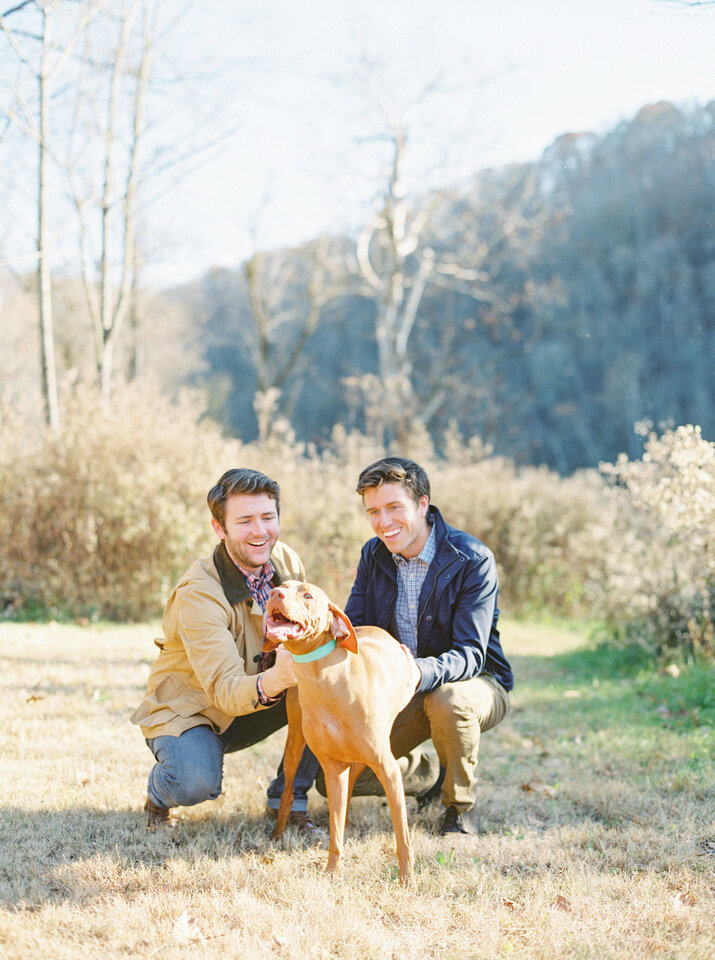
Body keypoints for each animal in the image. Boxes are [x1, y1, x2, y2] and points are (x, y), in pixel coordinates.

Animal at [266, 576, 416, 884]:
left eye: (308, 595)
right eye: (282, 587)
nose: (274, 593)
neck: (326, 680)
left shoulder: (388, 770)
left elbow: (402, 837)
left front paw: (407, 879)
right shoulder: (333, 769)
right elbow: (335, 835)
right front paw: (333, 872)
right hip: (296, 744)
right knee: (288, 791)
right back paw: (277, 833)